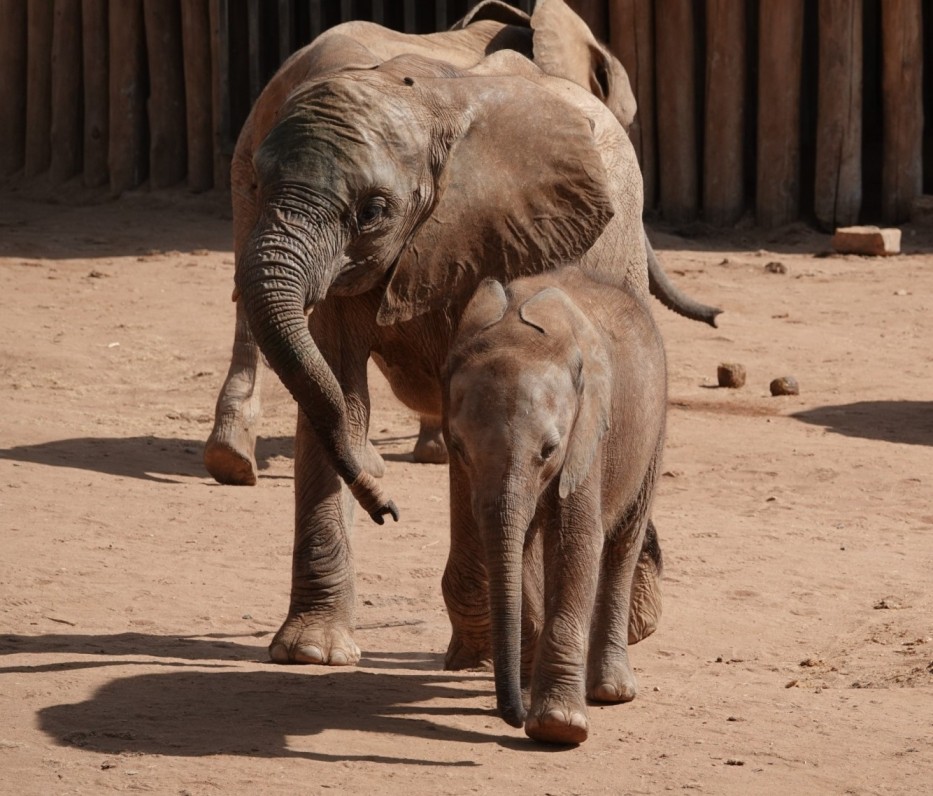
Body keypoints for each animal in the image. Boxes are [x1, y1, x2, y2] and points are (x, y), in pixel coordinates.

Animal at [223, 43, 665, 666]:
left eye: (373, 211)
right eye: (256, 186)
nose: (387, 509)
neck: (422, 103)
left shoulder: (499, 241)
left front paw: (489, 653)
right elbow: (335, 392)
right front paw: (312, 651)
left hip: (621, 253)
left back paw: (627, 626)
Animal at [443, 267, 667, 744]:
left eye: (549, 450)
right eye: (459, 447)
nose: (512, 714)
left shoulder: (588, 429)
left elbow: (575, 541)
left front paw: (558, 728)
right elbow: (513, 546)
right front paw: (535, 699)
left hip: (654, 426)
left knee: (624, 541)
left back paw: (610, 691)